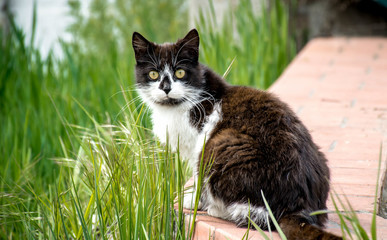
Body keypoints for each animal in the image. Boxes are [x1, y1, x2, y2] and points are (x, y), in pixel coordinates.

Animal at [133, 29, 342, 239]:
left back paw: (218, 209)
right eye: (153, 74)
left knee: (255, 215)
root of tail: (298, 206)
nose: (166, 88)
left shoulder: (198, 144)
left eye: (180, 72)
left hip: (221, 145)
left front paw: (194, 201)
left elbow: (198, 176)